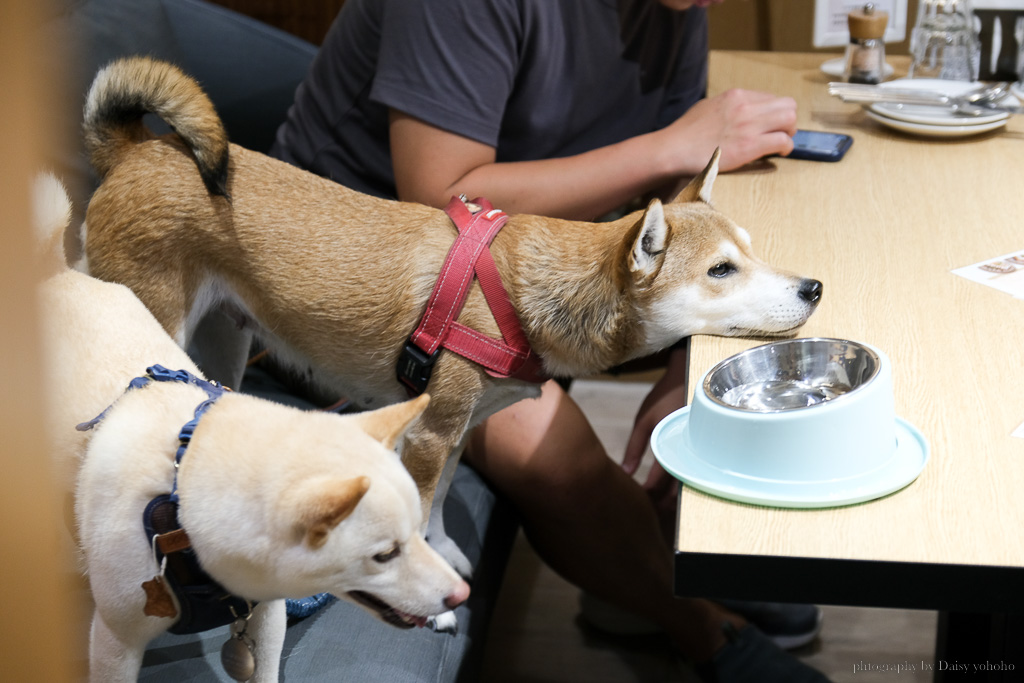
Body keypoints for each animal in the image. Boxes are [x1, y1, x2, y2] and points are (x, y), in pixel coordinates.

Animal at [35, 174, 468, 679]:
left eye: (420, 531)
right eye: (384, 555)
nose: (462, 595)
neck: (177, 495)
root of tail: (55, 272)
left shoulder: (268, 613)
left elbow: (265, 665)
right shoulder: (115, 644)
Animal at [79, 57, 823, 614]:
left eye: (750, 249)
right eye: (721, 270)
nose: (813, 289)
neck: (522, 295)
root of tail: (136, 154)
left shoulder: (452, 428)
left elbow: (433, 508)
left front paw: (442, 554)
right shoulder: (433, 432)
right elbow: (419, 504)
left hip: (222, 346)